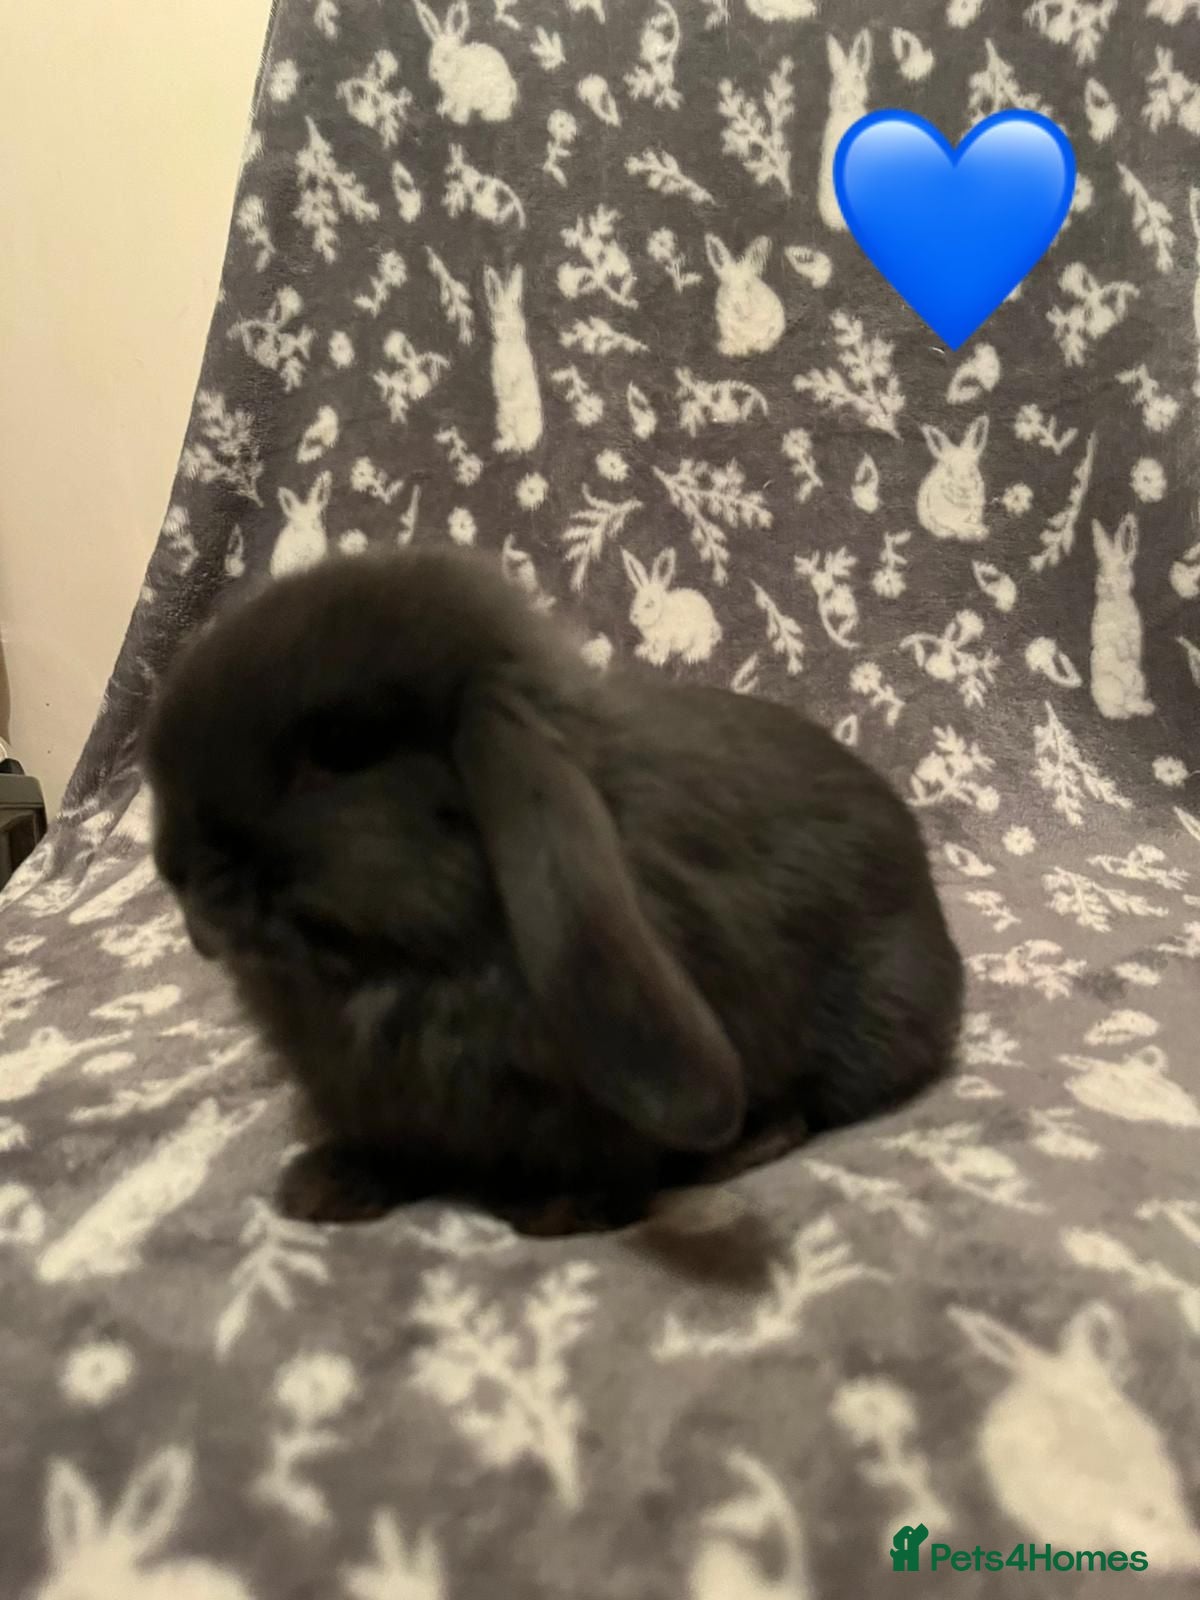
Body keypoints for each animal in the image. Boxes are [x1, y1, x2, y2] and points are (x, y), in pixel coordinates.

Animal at [1090, 514, 1155, 719]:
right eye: (1100, 577)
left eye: (1123, 570)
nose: (1108, 587)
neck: (1117, 597)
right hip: (1116, 686)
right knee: (1122, 707)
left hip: (1138, 681)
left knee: (1130, 703)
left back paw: (1146, 707)